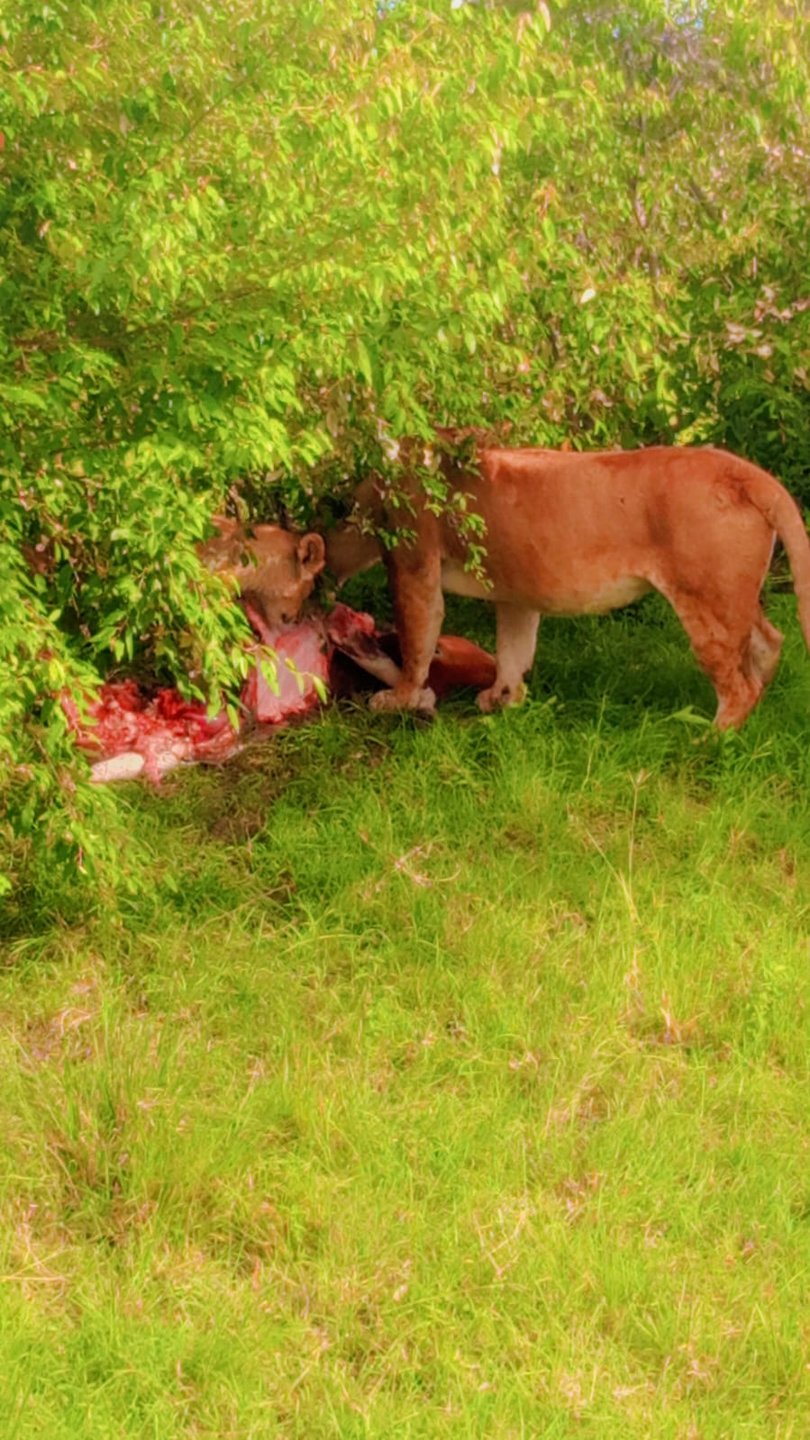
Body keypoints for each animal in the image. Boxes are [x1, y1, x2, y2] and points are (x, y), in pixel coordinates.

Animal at [325, 442, 810, 729]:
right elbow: (513, 649)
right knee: (769, 641)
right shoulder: (516, 592)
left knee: (738, 685)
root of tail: (749, 474)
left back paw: (710, 741)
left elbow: (416, 639)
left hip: (706, 600)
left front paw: (399, 698)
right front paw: (504, 700)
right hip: (732, 596)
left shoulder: (413, 563)